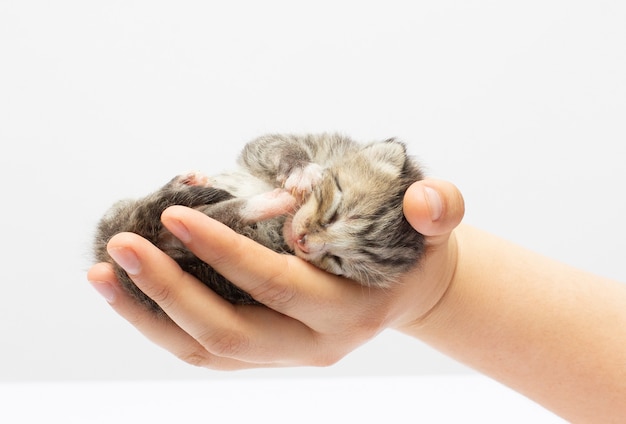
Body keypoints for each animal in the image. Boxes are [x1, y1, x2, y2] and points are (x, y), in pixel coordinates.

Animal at [92, 133, 424, 314]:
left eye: (339, 261)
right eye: (335, 211)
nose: (303, 242)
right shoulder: (306, 143)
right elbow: (274, 146)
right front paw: (302, 171)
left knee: (214, 217)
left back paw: (269, 202)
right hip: (122, 212)